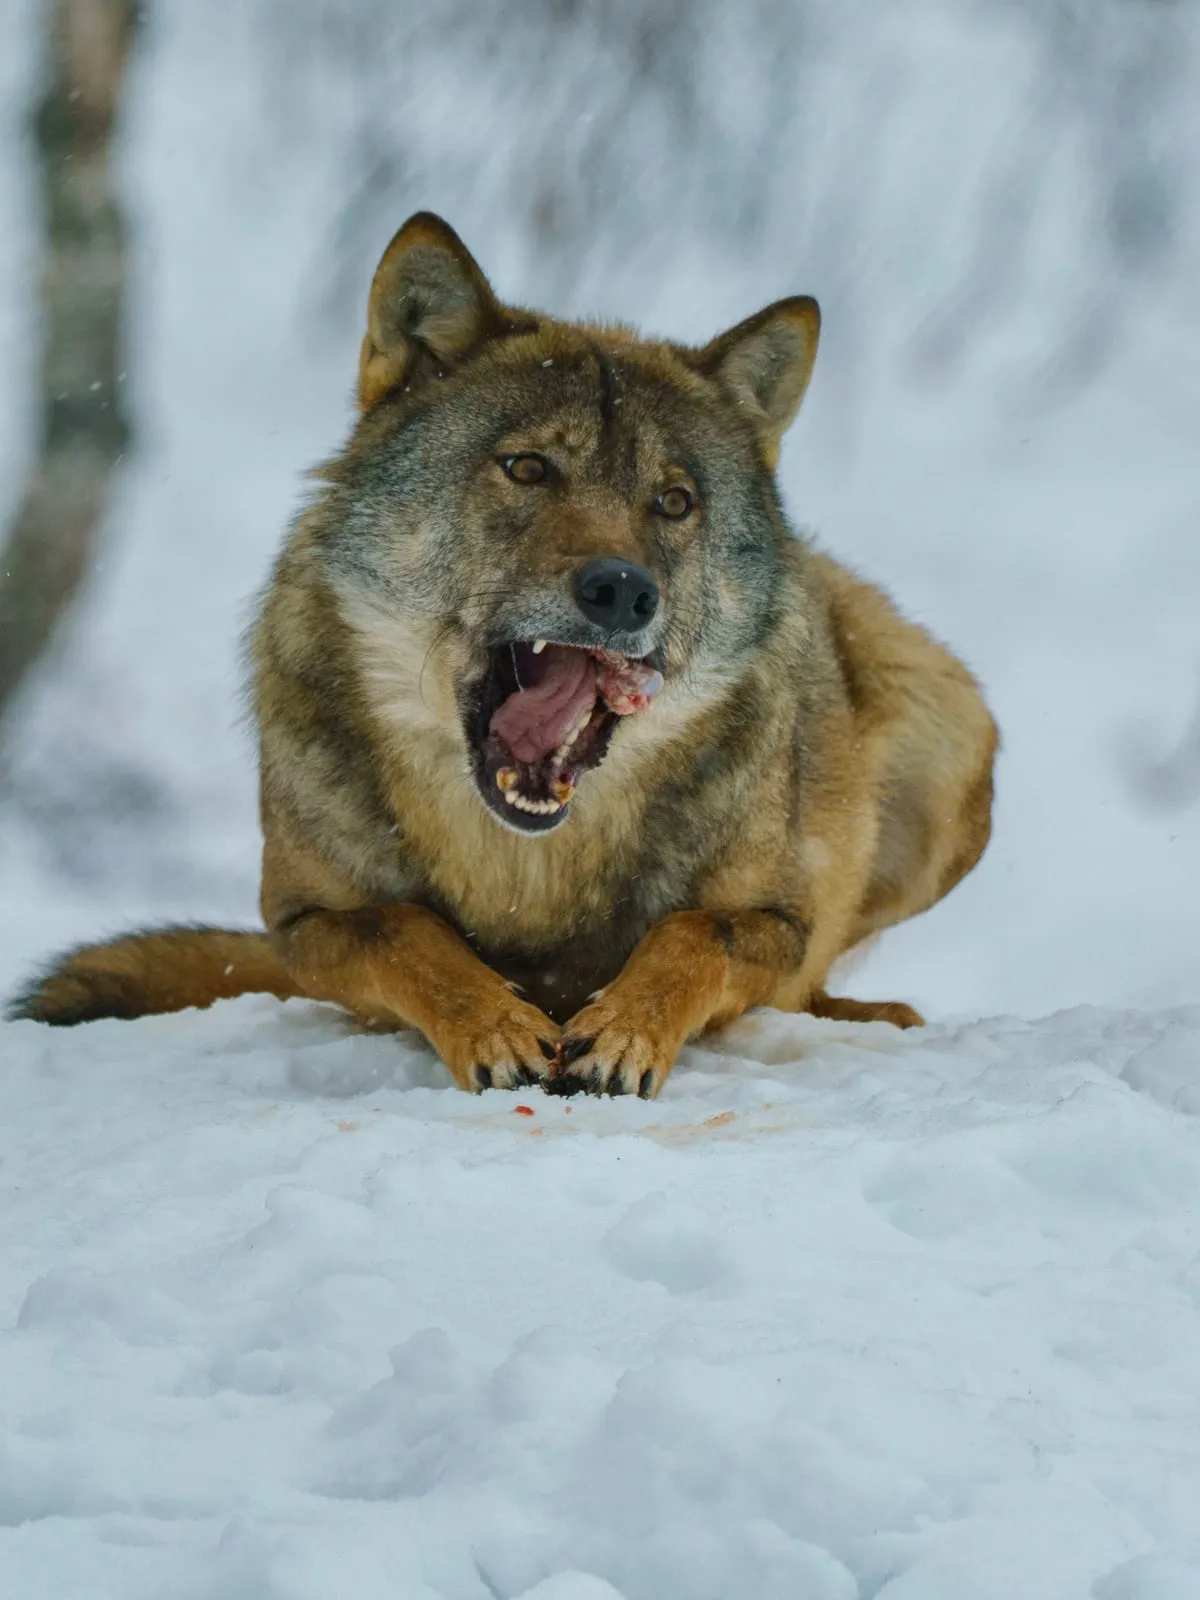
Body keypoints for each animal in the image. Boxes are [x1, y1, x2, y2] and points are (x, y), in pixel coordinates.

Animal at [10, 212, 997, 1097]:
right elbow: (409, 929)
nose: (624, 591)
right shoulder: (305, 922)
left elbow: (691, 936)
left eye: (673, 503)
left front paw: (624, 1031)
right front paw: (494, 1024)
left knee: (812, 989)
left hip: (950, 732)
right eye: (527, 469)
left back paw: (870, 1015)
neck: (526, 865)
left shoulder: (776, 920)